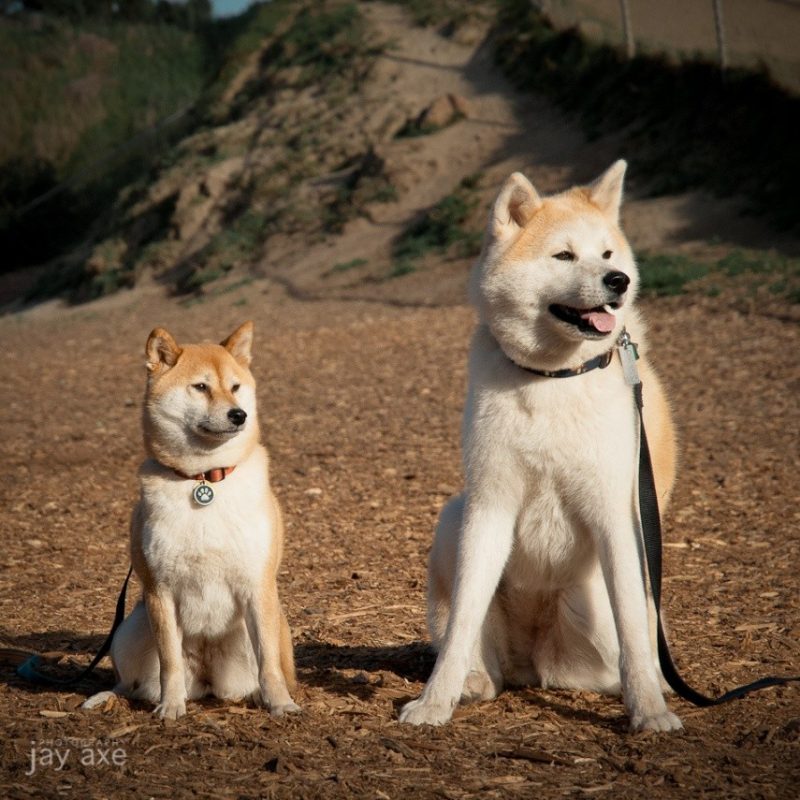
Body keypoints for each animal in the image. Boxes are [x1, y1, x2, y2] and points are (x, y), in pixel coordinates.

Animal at [400, 161, 680, 732]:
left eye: (608, 254)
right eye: (564, 255)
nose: (617, 282)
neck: (554, 378)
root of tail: (533, 661)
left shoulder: (617, 515)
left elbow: (635, 632)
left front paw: (649, 710)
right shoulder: (489, 505)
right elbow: (461, 625)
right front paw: (435, 703)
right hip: (453, 518)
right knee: (480, 656)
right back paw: (472, 684)